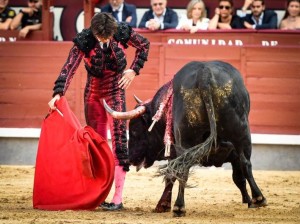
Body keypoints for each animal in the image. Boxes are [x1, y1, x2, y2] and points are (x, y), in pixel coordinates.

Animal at [103, 60, 268, 217]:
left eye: (135, 131)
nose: (130, 159)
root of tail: (204, 74)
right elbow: (239, 176)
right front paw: (249, 200)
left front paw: (162, 205)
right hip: (239, 132)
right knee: (245, 162)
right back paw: (258, 198)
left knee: (186, 170)